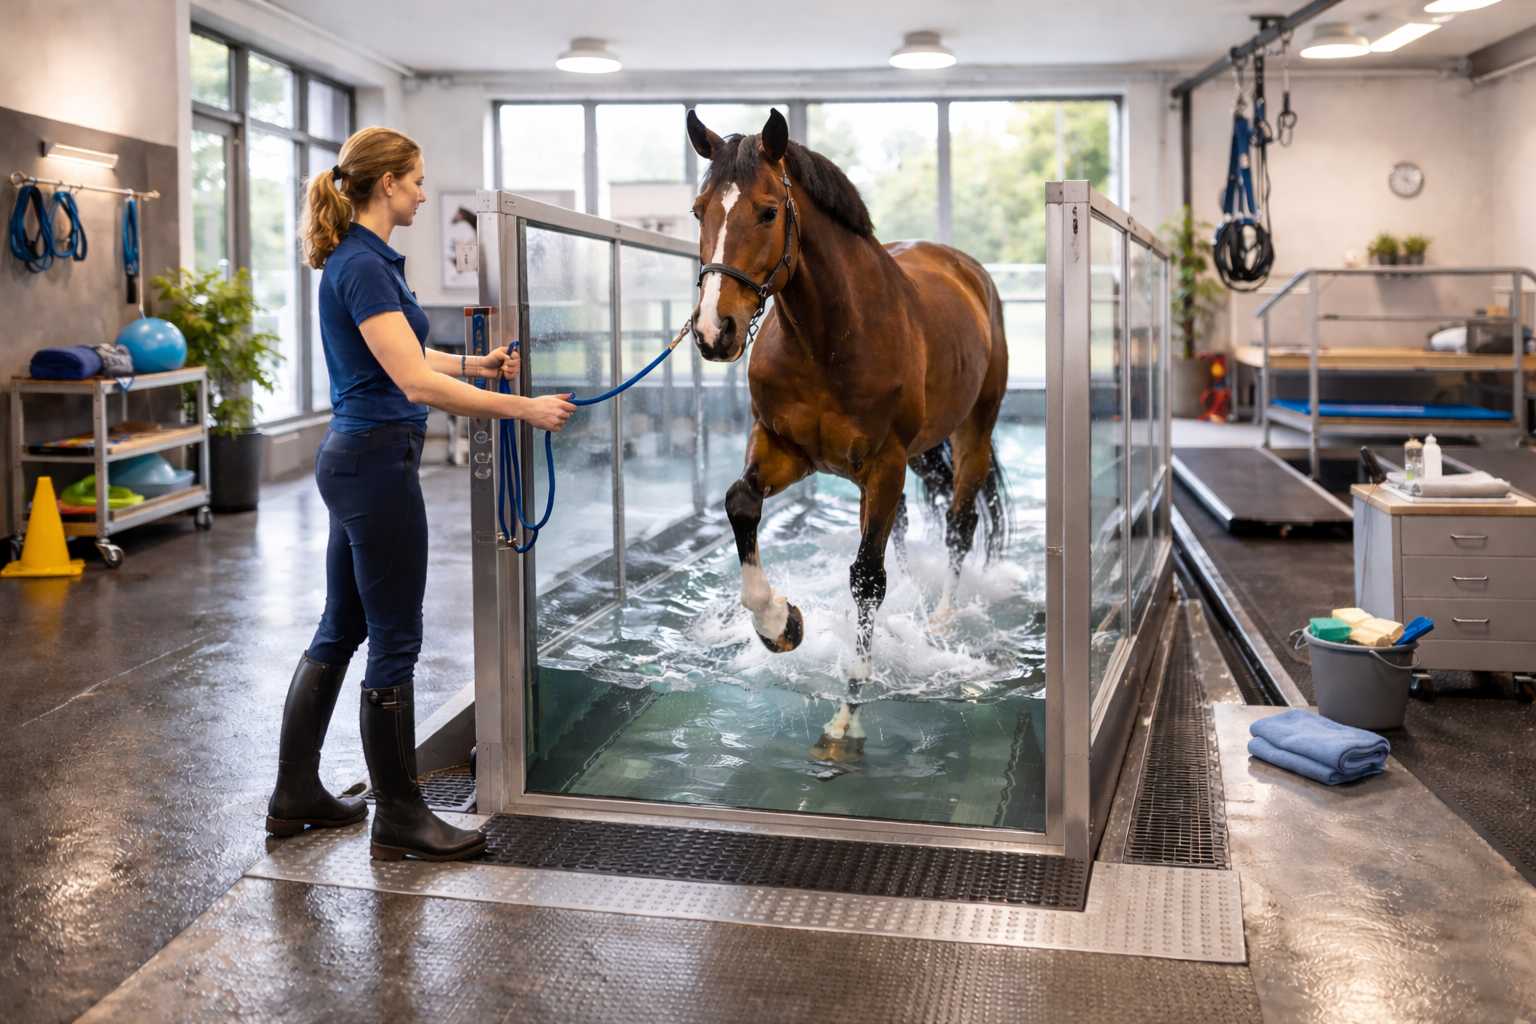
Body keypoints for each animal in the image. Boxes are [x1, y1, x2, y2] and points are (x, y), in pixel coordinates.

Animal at [686, 108, 1012, 762]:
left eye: (769, 211)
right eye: (698, 210)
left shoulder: (883, 464)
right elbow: (740, 503)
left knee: (960, 525)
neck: (830, 336)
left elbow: (866, 578)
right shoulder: (783, 448)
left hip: (975, 428)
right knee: (907, 529)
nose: (714, 331)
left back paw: (942, 618)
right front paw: (779, 624)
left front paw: (846, 718)